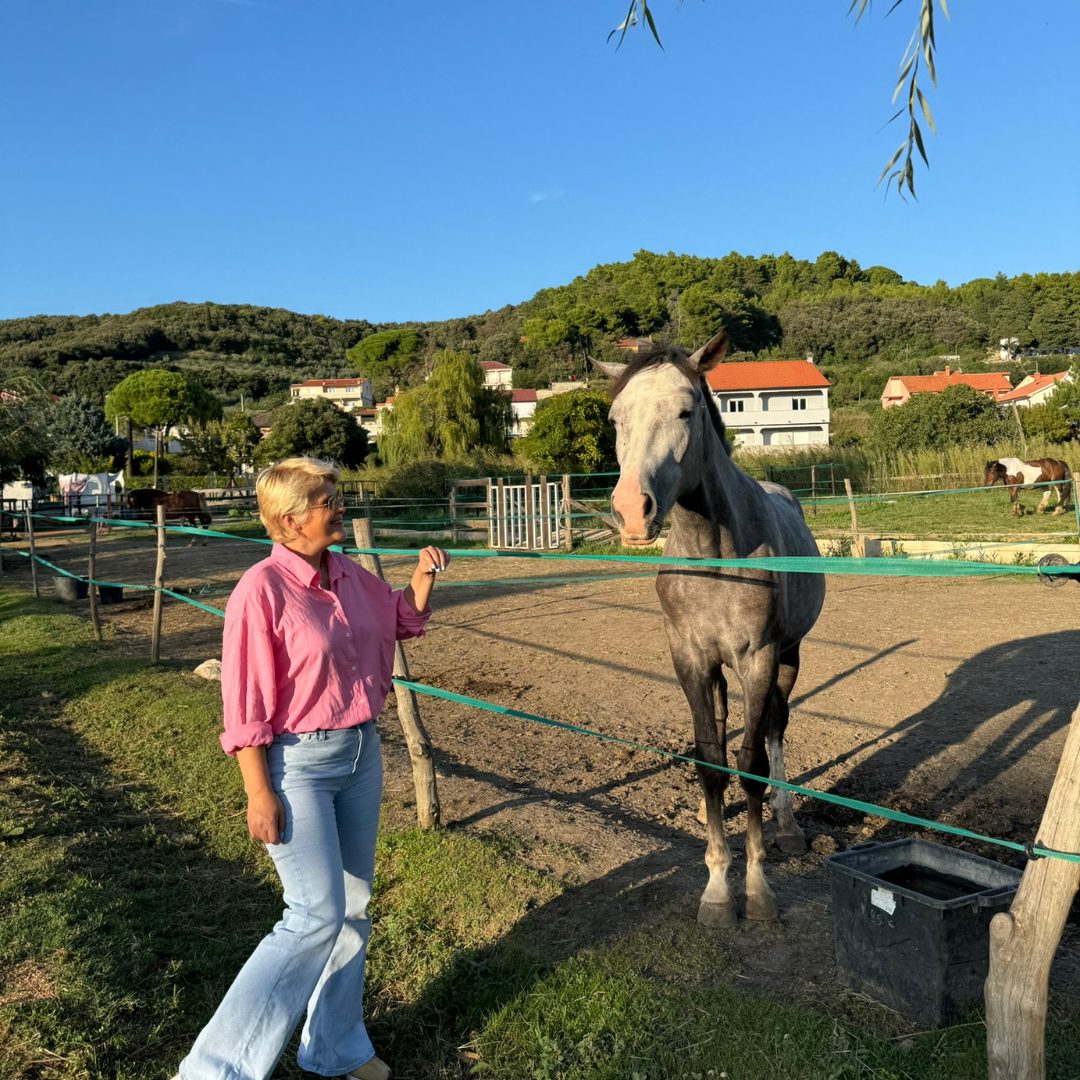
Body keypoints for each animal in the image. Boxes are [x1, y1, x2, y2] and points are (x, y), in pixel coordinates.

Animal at [599, 331, 825, 928]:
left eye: (685, 410)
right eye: (615, 418)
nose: (632, 511)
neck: (713, 554)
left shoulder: (759, 658)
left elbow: (750, 764)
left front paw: (757, 888)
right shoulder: (691, 660)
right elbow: (710, 761)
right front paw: (718, 887)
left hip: (789, 656)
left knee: (775, 730)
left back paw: (788, 826)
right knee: (723, 731)